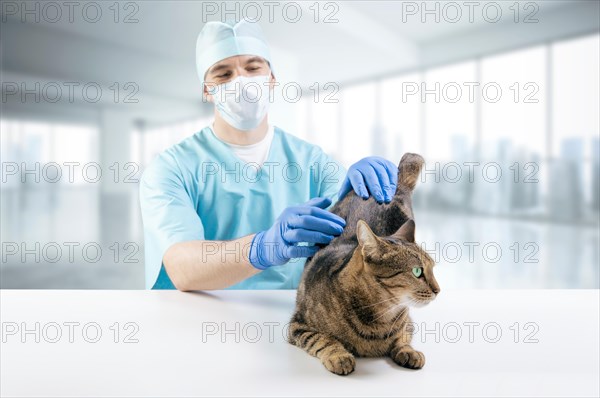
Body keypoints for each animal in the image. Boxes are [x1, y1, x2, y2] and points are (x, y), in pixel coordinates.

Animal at [288, 152, 438, 374]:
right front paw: (339, 355)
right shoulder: (299, 325)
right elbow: (323, 340)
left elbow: (403, 337)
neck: (381, 317)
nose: (438, 290)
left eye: (432, 269)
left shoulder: (408, 322)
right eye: (417, 271)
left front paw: (408, 351)